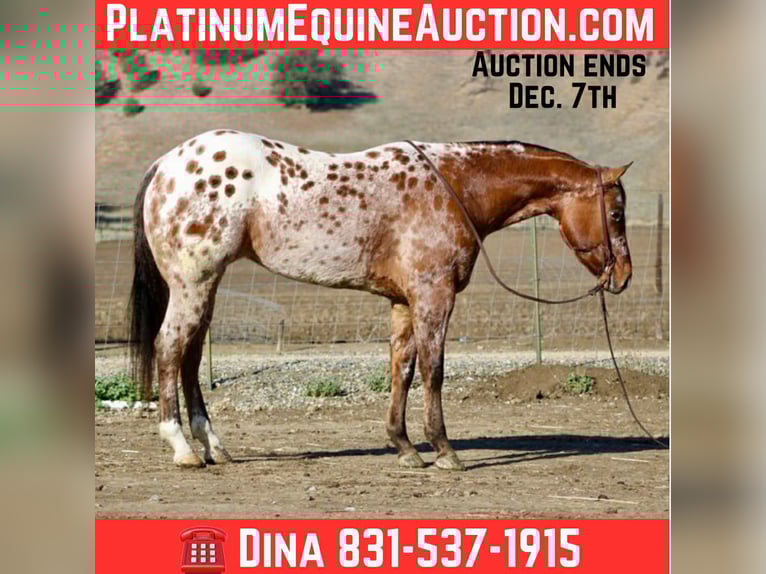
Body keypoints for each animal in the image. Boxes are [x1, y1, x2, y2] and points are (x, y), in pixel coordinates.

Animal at [129, 130, 633, 471]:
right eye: (616, 212)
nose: (623, 276)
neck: (455, 187)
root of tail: (166, 164)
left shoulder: (403, 302)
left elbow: (402, 369)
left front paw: (405, 447)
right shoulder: (433, 295)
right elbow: (433, 369)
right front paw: (444, 450)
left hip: (205, 285)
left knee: (191, 356)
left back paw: (215, 447)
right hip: (193, 282)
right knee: (170, 349)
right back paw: (182, 448)